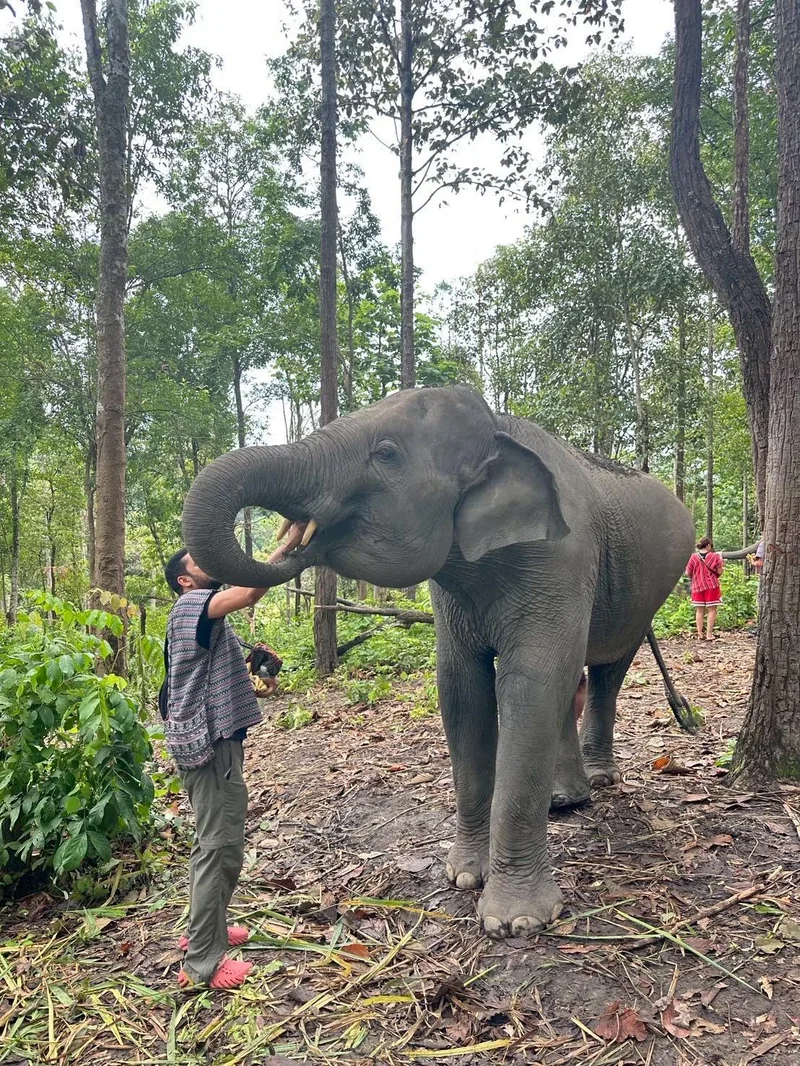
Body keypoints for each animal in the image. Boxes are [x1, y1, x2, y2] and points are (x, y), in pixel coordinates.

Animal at [182, 386, 695, 939]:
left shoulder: (561, 560)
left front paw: (515, 921)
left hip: (648, 591)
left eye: (386, 453)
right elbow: (461, 691)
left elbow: (529, 686)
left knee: (607, 669)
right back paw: (564, 800)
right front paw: (464, 876)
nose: (285, 546)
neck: (499, 429)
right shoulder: (453, 591)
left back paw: (599, 781)